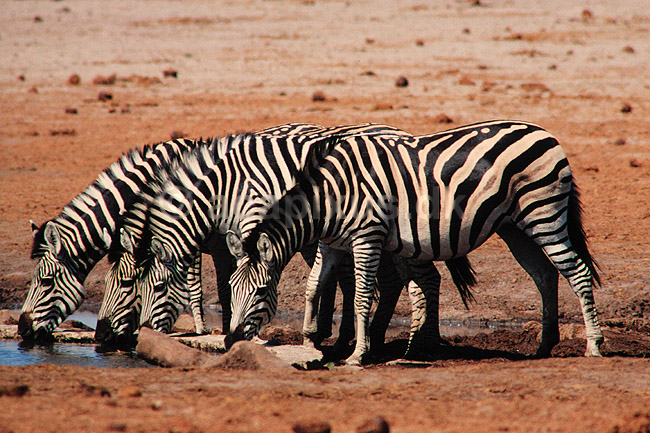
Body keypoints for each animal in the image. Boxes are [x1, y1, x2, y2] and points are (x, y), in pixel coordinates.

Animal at [225, 120, 603, 364]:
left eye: (261, 291)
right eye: (231, 288)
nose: (231, 339)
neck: (329, 198)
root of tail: (546, 133)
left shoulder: (367, 237)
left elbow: (362, 296)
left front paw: (357, 354)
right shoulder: (333, 243)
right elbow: (314, 285)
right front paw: (311, 339)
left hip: (544, 213)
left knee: (577, 272)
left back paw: (594, 346)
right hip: (516, 227)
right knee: (545, 275)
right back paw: (544, 346)